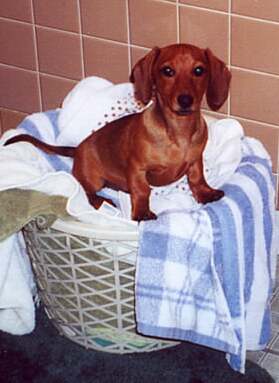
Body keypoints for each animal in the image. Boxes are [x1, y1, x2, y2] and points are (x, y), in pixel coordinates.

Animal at [4, 44, 232, 222]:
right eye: (167, 71)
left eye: (199, 70)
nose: (185, 100)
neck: (178, 131)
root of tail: (77, 149)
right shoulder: (137, 169)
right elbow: (142, 191)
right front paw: (142, 212)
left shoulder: (195, 160)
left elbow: (197, 178)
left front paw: (206, 193)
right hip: (92, 178)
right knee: (84, 190)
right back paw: (101, 200)